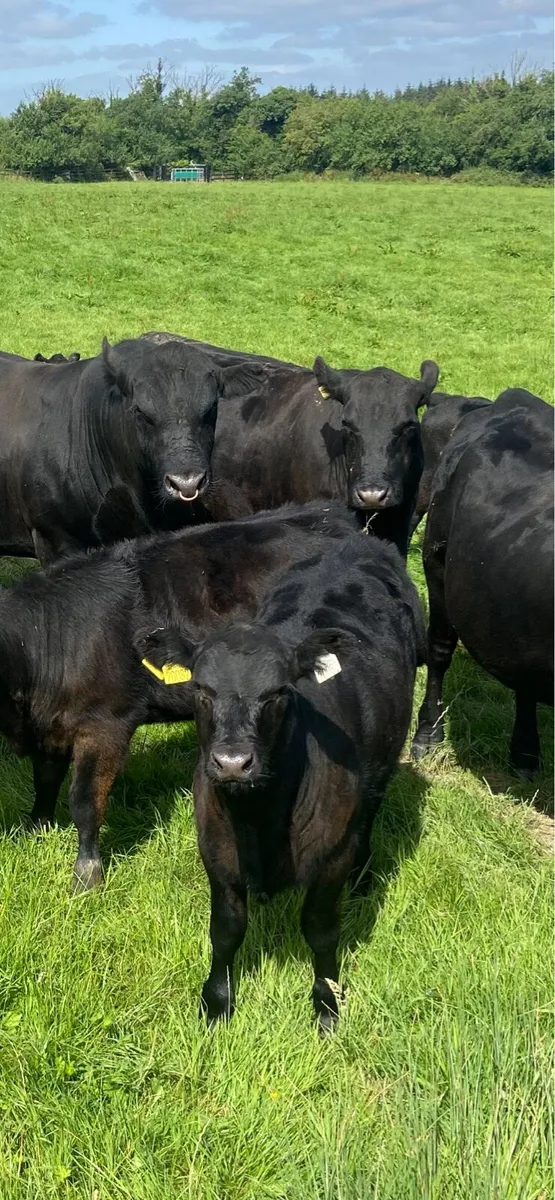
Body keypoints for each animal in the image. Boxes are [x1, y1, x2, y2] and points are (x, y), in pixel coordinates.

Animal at [0, 501, 359, 891]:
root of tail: (327, 514)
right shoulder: (49, 725)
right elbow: (45, 779)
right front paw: (36, 829)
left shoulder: (105, 724)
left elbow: (84, 801)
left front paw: (86, 875)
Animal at [142, 534, 426, 1031]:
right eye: (200, 690)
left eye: (278, 693)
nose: (233, 762)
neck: (258, 817)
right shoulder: (216, 848)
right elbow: (226, 929)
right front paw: (216, 1002)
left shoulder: (331, 854)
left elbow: (321, 929)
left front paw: (328, 1003)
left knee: (371, 811)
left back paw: (364, 876)